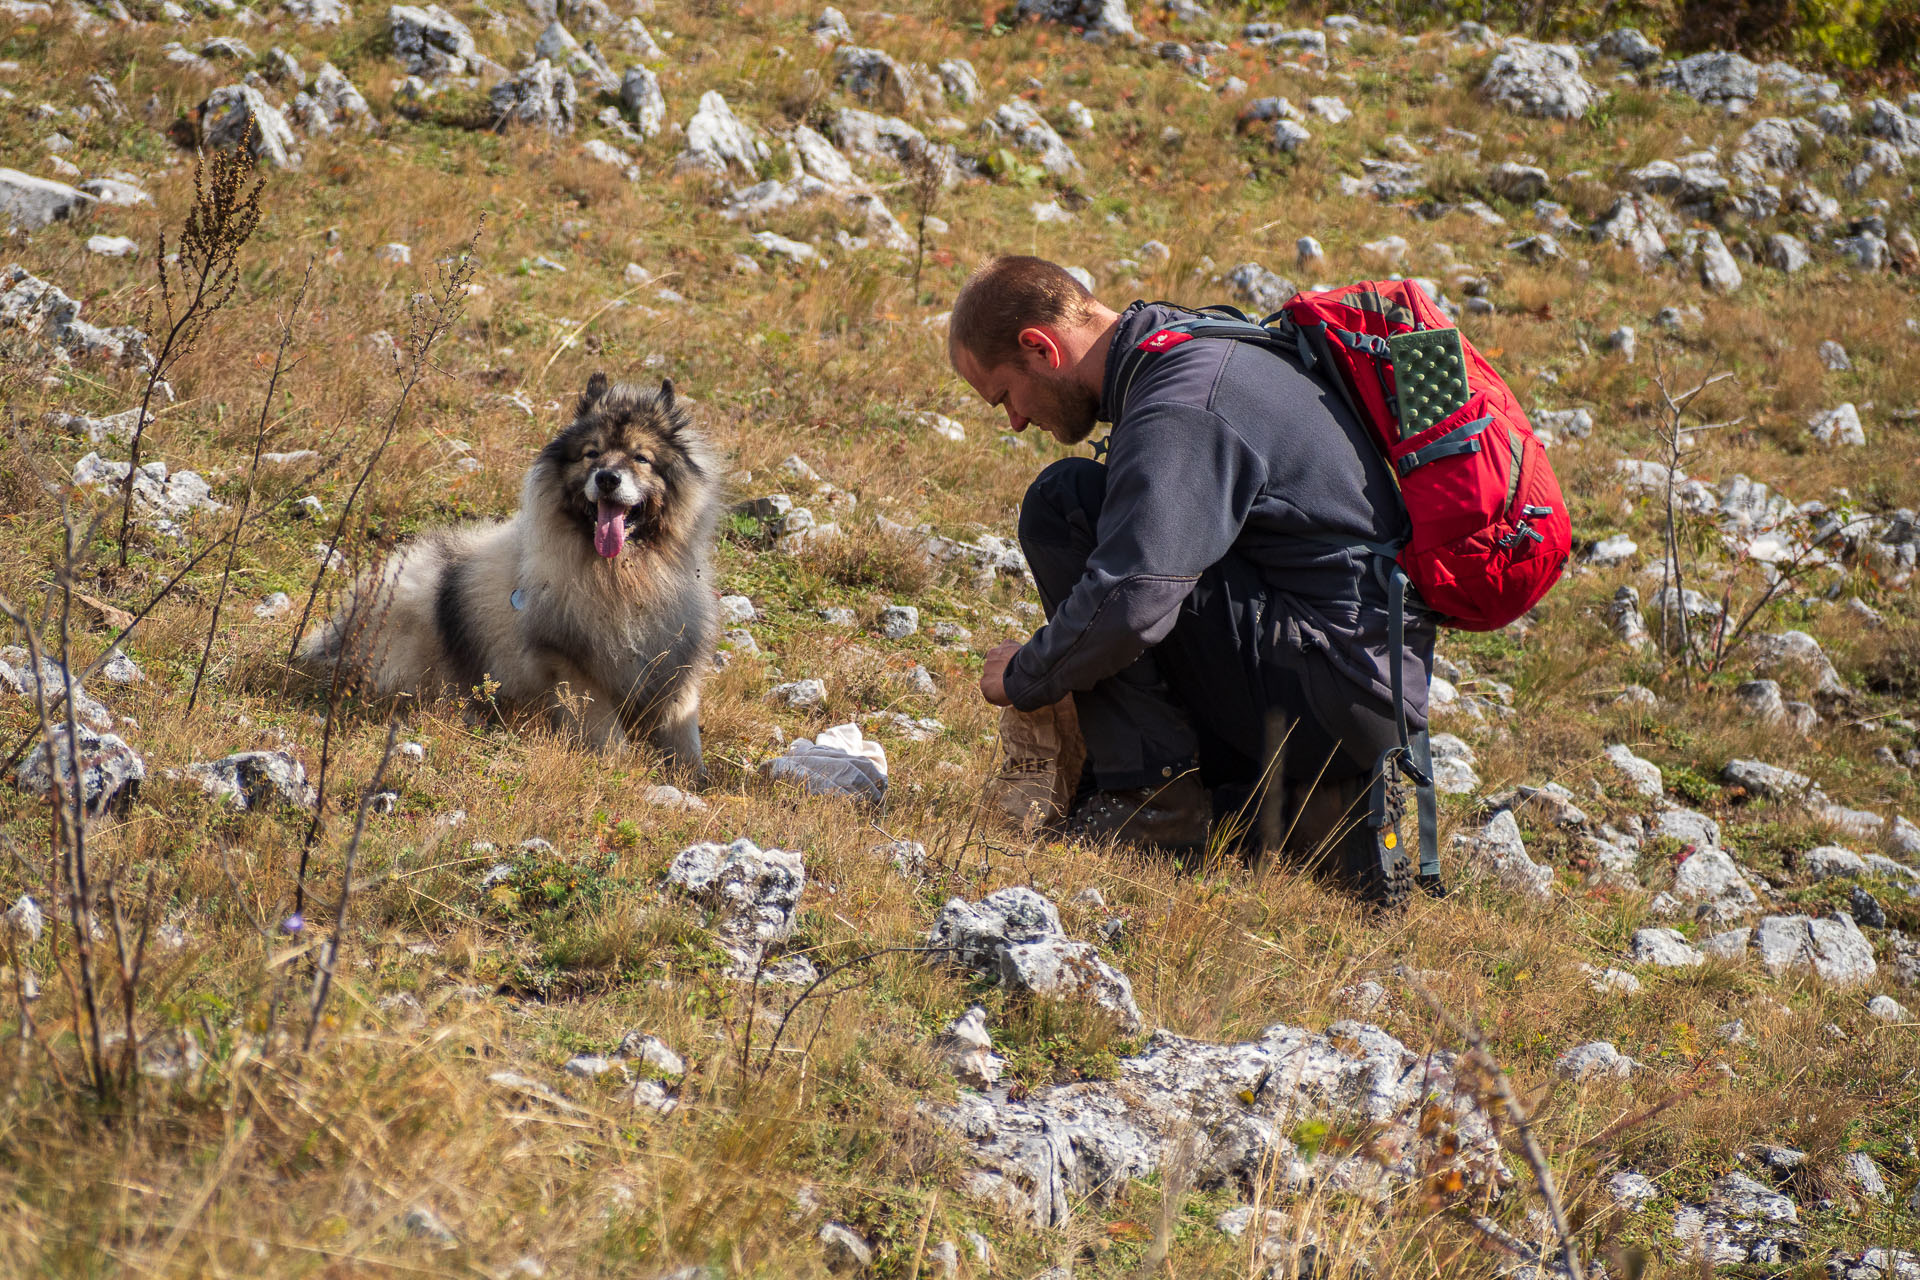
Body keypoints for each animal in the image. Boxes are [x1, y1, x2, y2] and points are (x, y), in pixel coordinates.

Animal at [299, 370, 721, 782]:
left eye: (641, 458)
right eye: (592, 453)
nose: (607, 478)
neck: (624, 574)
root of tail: (343, 623)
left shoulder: (675, 667)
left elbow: (685, 737)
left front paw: (694, 777)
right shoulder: (571, 666)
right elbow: (608, 734)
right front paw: (622, 767)